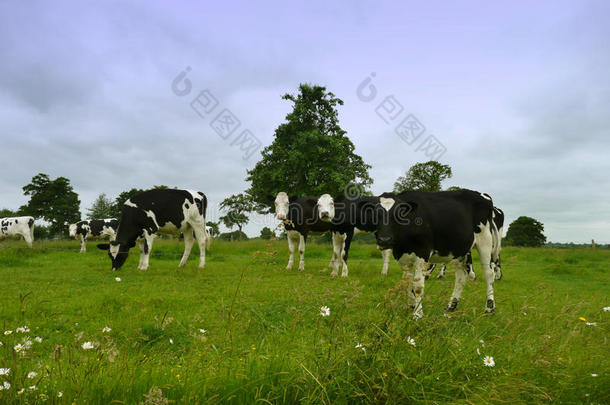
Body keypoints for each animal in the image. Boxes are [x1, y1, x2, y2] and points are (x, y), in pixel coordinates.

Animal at [370, 189, 498, 318]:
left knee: (489, 274)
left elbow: (417, 287)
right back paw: (450, 307)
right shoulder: (403, 258)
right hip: (460, 248)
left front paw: (418, 314)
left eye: (398, 214)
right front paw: (411, 307)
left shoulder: (422, 254)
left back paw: (489, 309)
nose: (384, 239)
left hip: (485, 241)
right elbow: (408, 283)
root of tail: (483, 195)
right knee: (461, 276)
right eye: (376, 215)